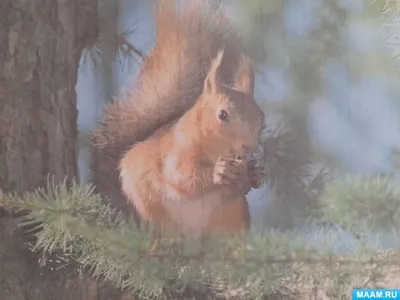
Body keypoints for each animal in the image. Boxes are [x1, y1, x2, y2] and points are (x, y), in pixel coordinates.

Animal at [90, 0, 266, 239]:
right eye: (222, 115)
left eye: (261, 119)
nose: (248, 147)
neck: (215, 149)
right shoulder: (177, 148)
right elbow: (181, 177)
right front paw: (218, 171)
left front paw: (255, 174)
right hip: (150, 204)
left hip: (232, 216)